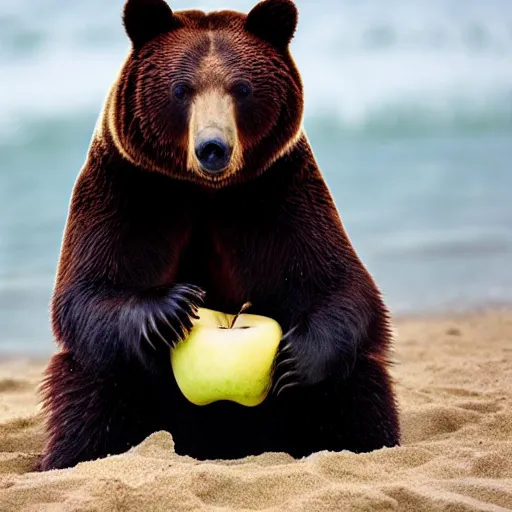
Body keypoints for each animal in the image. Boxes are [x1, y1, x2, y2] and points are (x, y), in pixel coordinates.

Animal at [38, 0, 402, 472]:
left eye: (242, 88)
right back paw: (71, 457)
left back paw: (366, 445)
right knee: (91, 388)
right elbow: (88, 291)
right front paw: (175, 305)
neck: (206, 191)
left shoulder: (278, 191)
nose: (213, 147)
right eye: (180, 89)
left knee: (358, 388)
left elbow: (339, 285)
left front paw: (293, 360)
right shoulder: (128, 189)